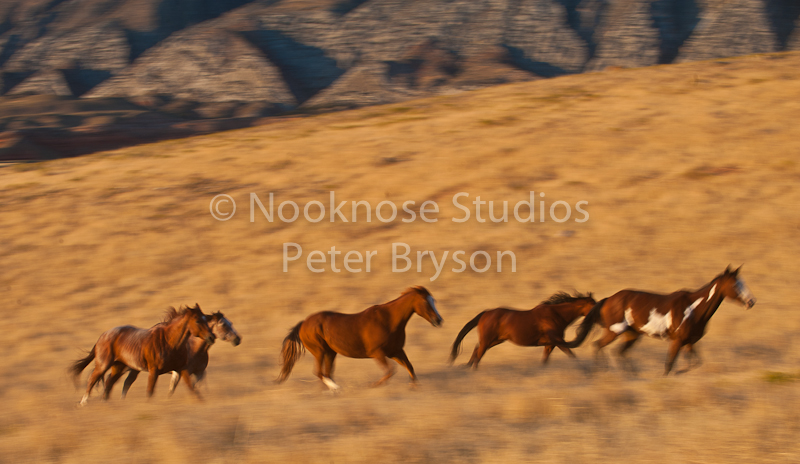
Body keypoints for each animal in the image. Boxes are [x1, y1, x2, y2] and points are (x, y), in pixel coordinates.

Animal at [70, 304, 215, 405]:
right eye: (197, 321)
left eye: (206, 319)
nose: (211, 337)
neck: (170, 342)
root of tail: (103, 336)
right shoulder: (154, 370)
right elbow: (150, 391)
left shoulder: (181, 369)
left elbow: (192, 388)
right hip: (103, 364)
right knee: (92, 380)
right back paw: (84, 403)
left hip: (118, 367)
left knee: (109, 383)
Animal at [277, 286, 443, 391]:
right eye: (425, 301)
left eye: (434, 300)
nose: (439, 320)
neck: (389, 321)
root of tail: (303, 323)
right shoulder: (378, 353)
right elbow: (390, 371)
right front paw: (372, 386)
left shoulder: (395, 351)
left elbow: (410, 367)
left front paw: (414, 388)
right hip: (319, 351)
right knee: (319, 373)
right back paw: (337, 388)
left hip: (330, 352)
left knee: (326, 373)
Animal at [448, 292, 597, 369]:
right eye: (594, 305)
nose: (599, 315)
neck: (556, 314)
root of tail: (486, 313)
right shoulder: (557, 340)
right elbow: (571, 354)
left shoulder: (550, 344)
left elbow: (545, 360)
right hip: (488, 340)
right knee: (478, 355)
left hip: (495, 340)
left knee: (476, 350)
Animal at [565, 266, 756, 375]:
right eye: (735, 284)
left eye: (742, 282)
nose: (751, 302)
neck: (693, 309)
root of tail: (609, 299)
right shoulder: (676, 341)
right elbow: (669, 365)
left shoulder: (689, 342)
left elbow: (694, 363)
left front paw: (681, 371)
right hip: (614, 331)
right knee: (598, 345)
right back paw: (601, 371)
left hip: (632, 334)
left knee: (619, 352)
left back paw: (630, 374)